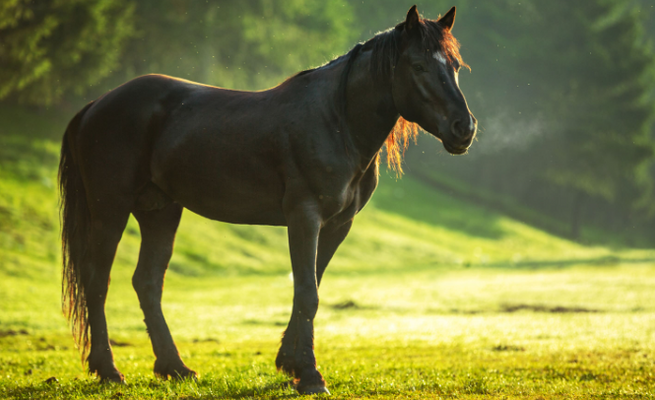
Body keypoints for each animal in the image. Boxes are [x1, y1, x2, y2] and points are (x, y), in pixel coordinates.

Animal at [58, 5, 476, 394]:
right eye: (418, 66)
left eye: (455, 66)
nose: (465, 128)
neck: (335, 122)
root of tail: (96, 105)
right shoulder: (304, 217)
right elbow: (307, 292)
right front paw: (309, 375)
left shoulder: (337, 225)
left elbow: (310, 288)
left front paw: (290, 362)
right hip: (110, 210)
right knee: (97, 281)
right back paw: (109, 370)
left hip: (160, 211)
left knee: (147, 282)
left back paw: (175, 367)